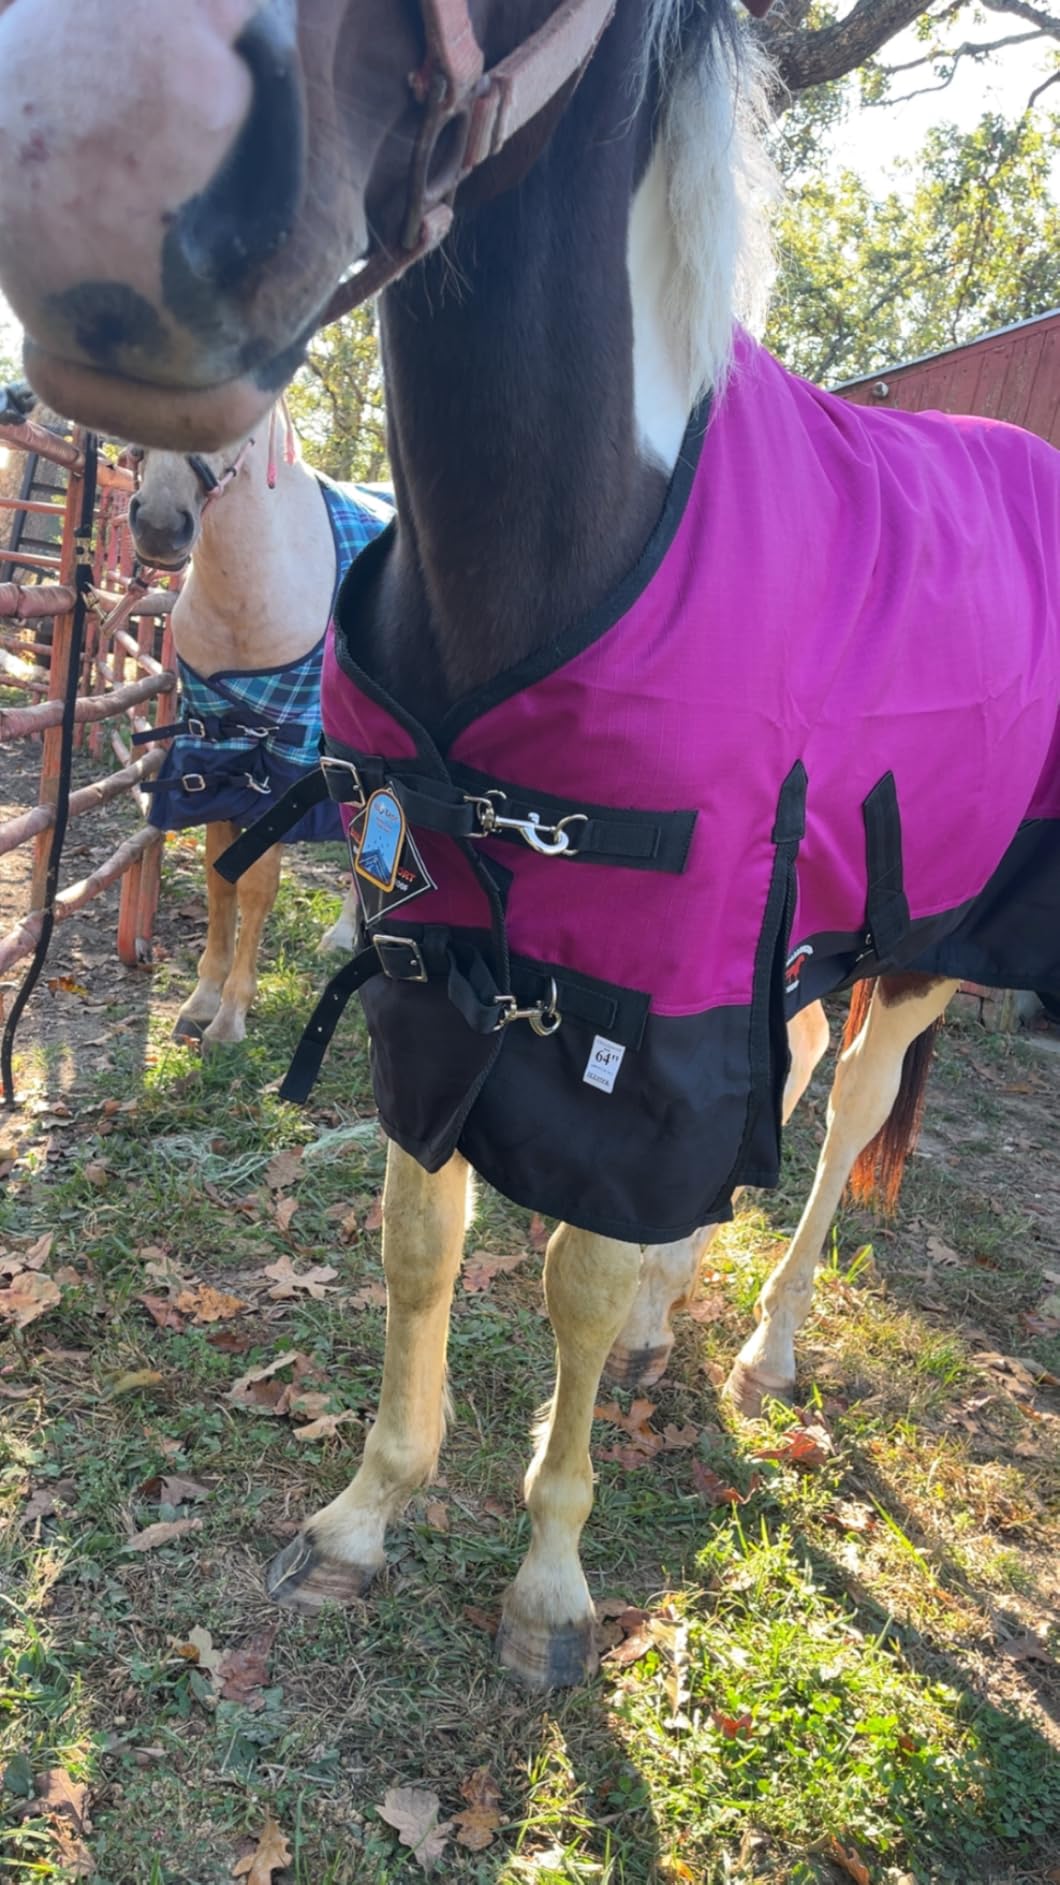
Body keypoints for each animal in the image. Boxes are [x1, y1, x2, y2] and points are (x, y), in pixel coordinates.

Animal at [126, 415, 389, 1044]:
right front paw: (200, 1000)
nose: (160, 526)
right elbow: (219, 878)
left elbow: (256, 884)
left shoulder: (283, 767)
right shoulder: (217, 752)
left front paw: (230, 1017)